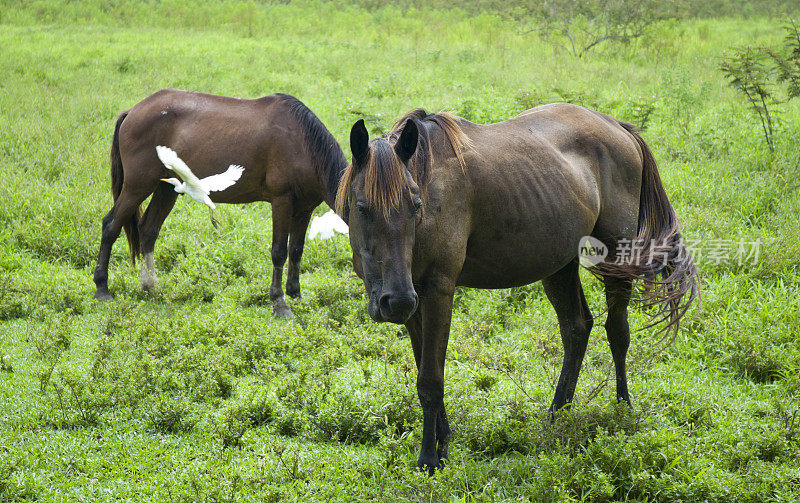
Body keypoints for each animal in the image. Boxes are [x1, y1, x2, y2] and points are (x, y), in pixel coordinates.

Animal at [91, 89, 346, 318]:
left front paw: (296, 294)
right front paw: (279, 303)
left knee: (148, 230)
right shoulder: (282, 202)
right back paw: (102, 289)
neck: (302, 142)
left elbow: (296, 250)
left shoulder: (304, 209)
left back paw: (150, 286)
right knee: (111, 225)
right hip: (137, 186)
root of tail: (132, 111)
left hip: (167, 188)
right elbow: (279, 252)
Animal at [338, 104, 700, 474]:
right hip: (559, 265)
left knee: (617, 331)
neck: (430, 185)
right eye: (362, 208)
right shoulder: (414, 302)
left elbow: (430, 381)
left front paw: (429, 459)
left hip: (617, 256)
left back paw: (622, 408)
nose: (393, 302)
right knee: (577, 328)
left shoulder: (438, 289)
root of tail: (619, 128)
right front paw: (443, 442)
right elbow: (425, 366)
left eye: (415, 205)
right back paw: (557, 416)